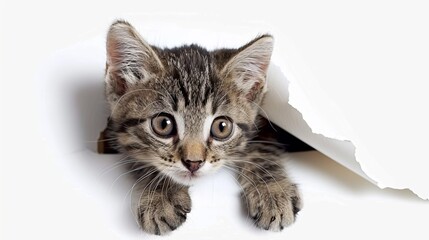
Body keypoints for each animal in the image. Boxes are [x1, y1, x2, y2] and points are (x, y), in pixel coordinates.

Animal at [104, 20, 300, 234]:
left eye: (222, 127)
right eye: (163, 124)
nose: (194, 163)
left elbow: (263, 150)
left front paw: (272, 192)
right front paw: (162, 196)